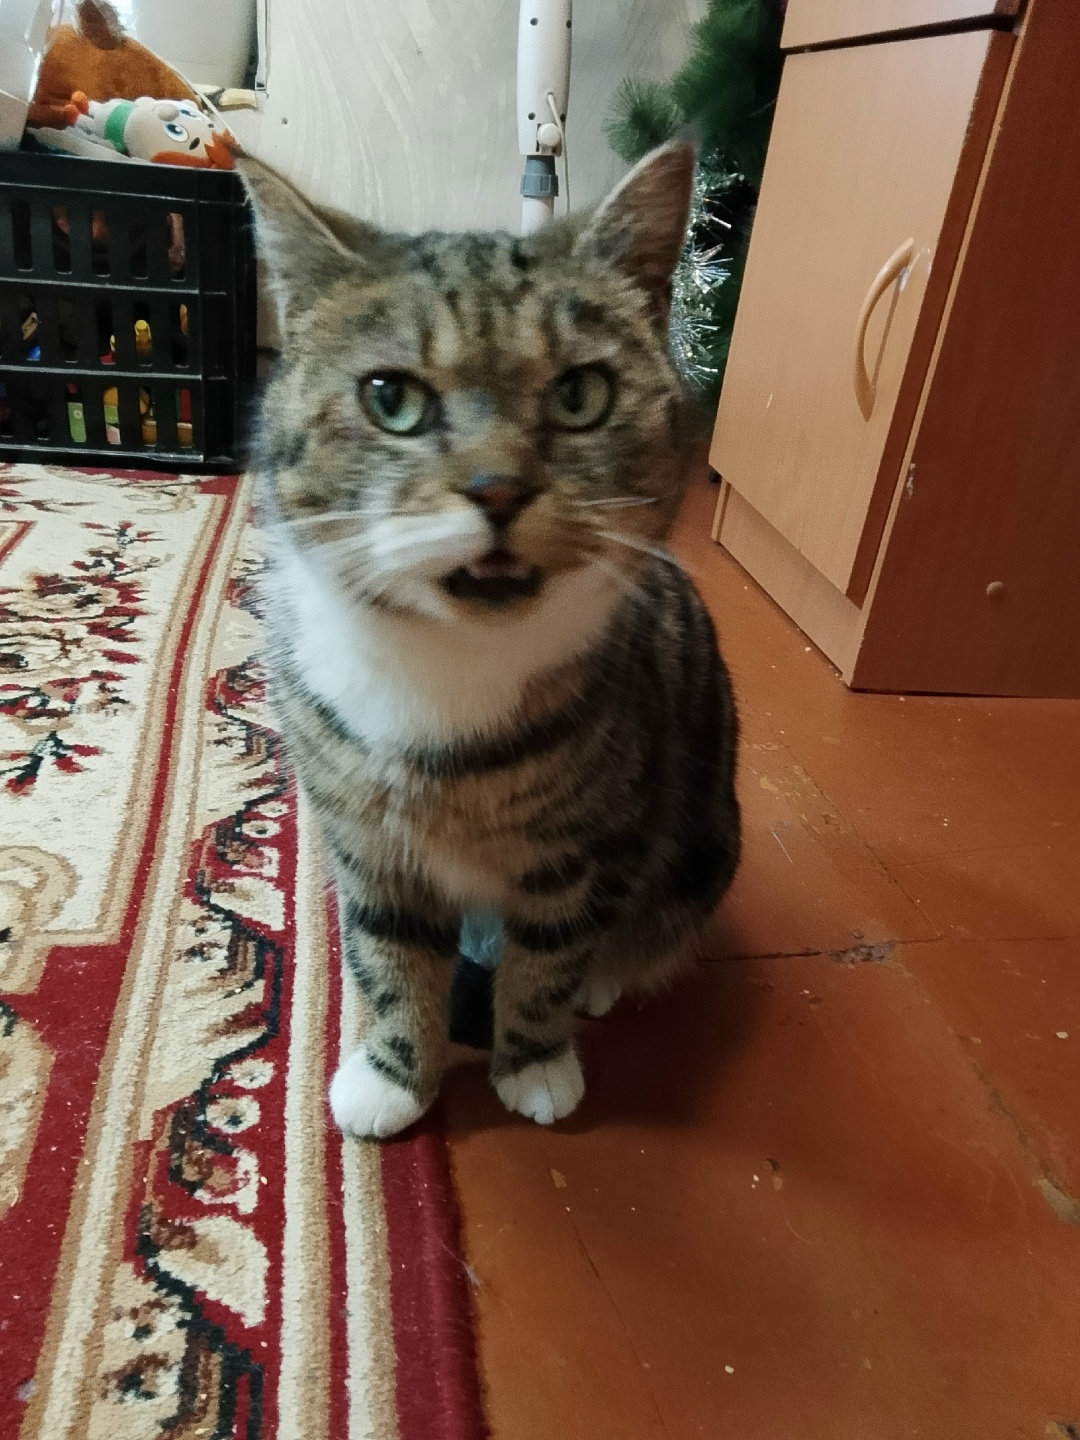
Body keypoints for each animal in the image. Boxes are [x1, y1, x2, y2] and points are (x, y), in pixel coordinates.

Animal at [241, 141, 741, 1138]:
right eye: (389, 398)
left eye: (581, 394)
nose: (498, 488)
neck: (447, 664)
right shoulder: (365, 841)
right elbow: (389, 955)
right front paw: (393, 1075)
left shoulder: (589, 844)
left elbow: (550, 954)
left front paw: (536, 1062)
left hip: (704, 844)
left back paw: (607, 979)